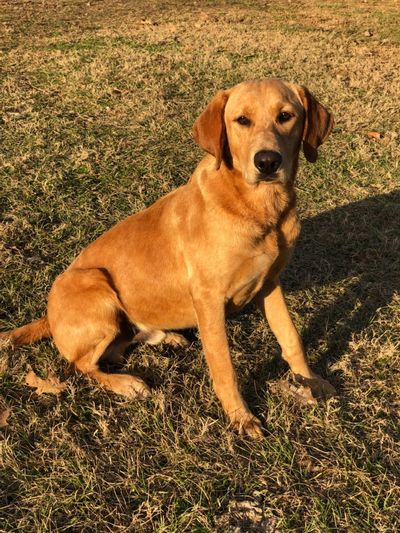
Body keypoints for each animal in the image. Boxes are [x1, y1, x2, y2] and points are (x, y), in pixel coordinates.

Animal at [1, 78, 336, 436]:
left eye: (285, 116)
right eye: (241, 120)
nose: (268, 161)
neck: (258, 207)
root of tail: (48, 316)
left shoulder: (270, 283)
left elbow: (291, 338)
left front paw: (311, 381)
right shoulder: (209, 300)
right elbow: (223, 365)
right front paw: (240, 416)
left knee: (117, 348)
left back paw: (166, 336)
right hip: (95, 284)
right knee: (81, 365)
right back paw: (126, 383)